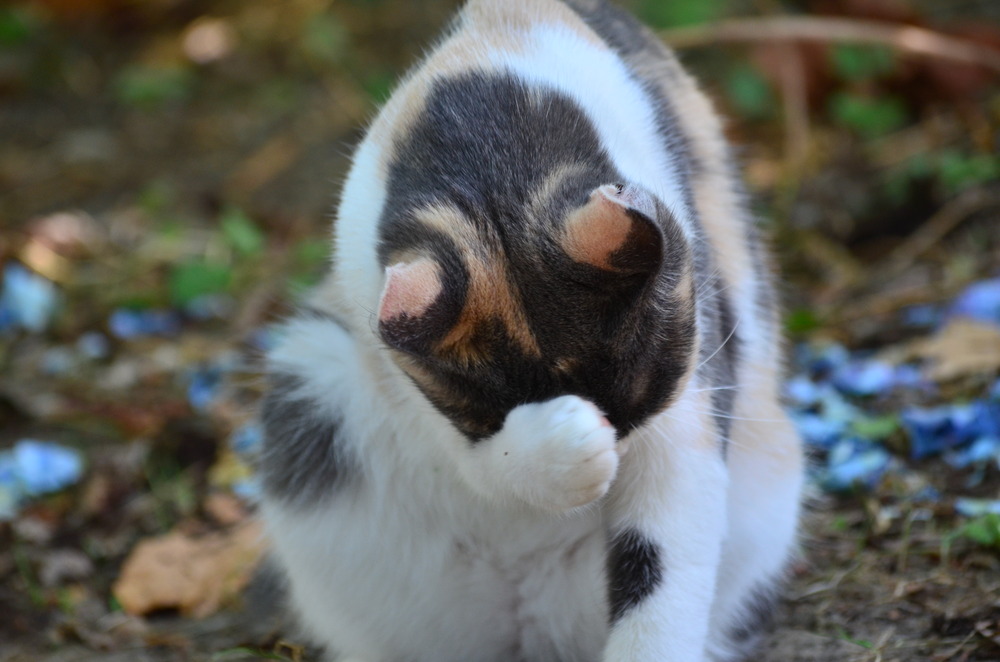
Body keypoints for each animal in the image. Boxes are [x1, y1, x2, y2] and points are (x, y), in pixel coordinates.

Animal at [256, 1, 804, 662]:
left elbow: (661, 565)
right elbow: (481, 464)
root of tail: (530, 620)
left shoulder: (687, 396)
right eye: (498, 410)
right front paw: (565, 448)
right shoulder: (424, 399)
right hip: (313, 374)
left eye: (635, 413)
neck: (487, 154)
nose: (608, 446)